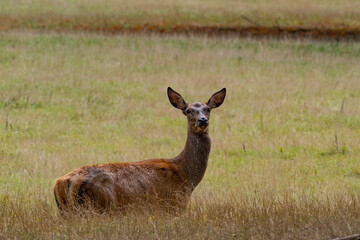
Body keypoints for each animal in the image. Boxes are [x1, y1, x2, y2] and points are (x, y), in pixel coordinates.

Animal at [54, 87, 225, 213]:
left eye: (207, 108)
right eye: (188, 111)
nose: (203, 120)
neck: (187, 175)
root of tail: (64, 182)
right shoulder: (175, 203)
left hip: (66, 211)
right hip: (100, 207)